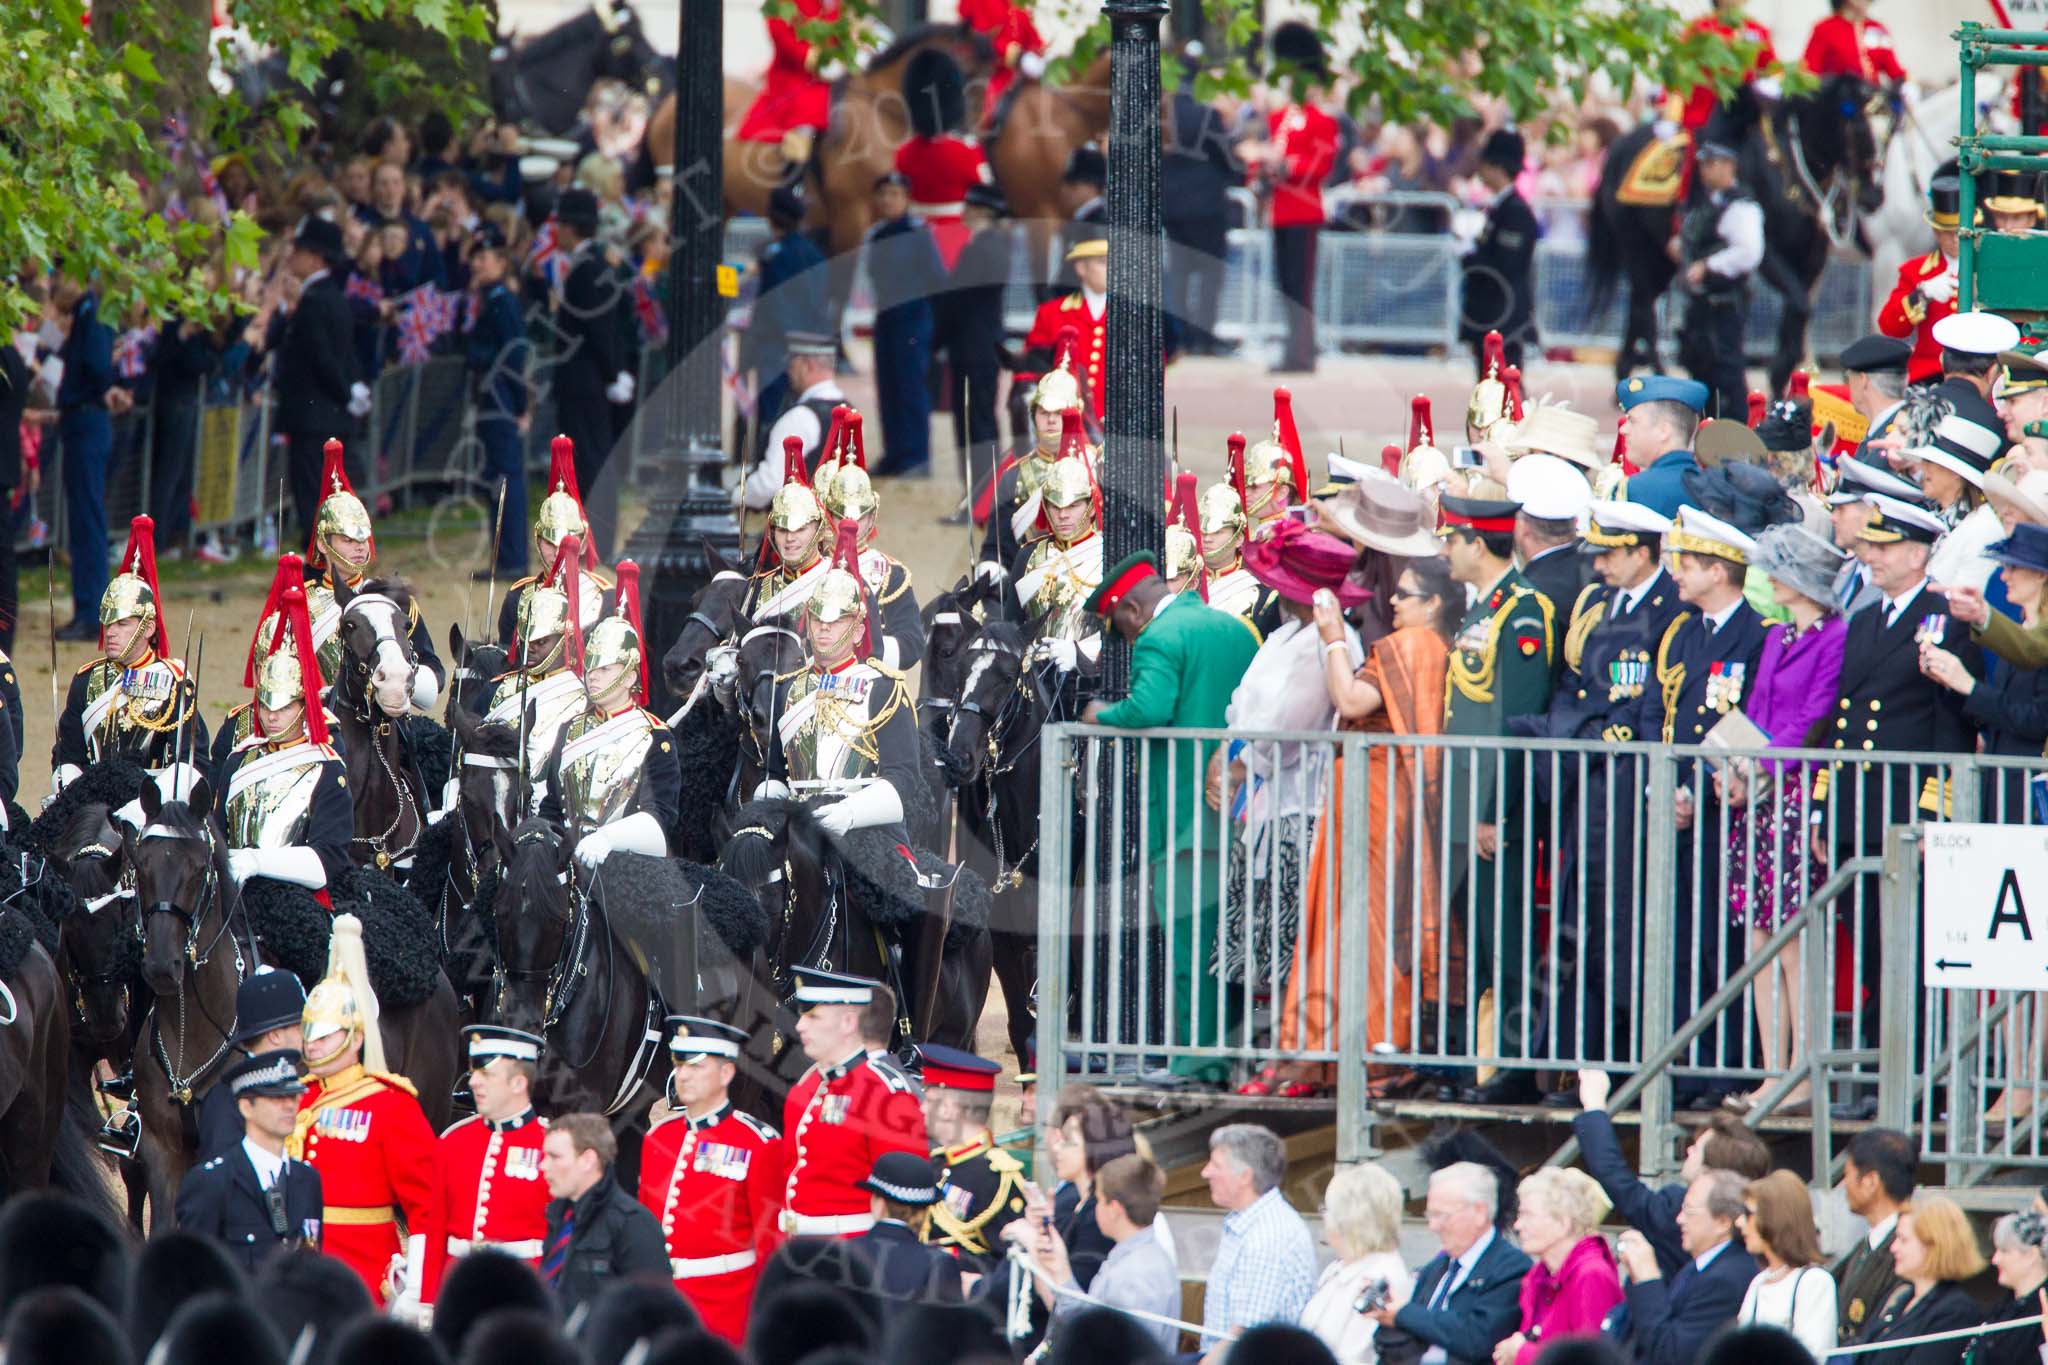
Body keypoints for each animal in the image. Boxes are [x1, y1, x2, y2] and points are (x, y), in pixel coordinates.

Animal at [1581, 75, 1884, 397]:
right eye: (1857, 123)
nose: (1874, 195)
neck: (1784, 168)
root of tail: (1619, 146)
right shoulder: (1766, 252)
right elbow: (1798, 305)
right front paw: (1780, 374)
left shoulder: (1810, 259)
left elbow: (1797, 312)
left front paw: (1784, 378)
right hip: (1636, 247)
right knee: (1645, 313)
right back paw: (1658, 375)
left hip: (1659, 257)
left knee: (1639, 311)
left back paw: (1628, 372)